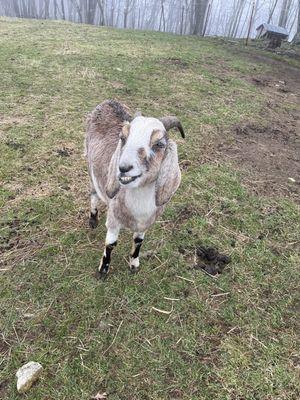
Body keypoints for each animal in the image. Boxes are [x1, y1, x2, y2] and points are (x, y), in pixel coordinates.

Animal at [83, 100, 184, 278]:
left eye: (159, 144)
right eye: (122, 138)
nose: (123, 168)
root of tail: (109, 101)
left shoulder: (145, 222)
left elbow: (138, 242)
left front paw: (134, 264)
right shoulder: (114, 219)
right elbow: (111, 244)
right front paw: (103, 270)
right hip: (90, 167)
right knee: (93, 193)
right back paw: (93, 219)